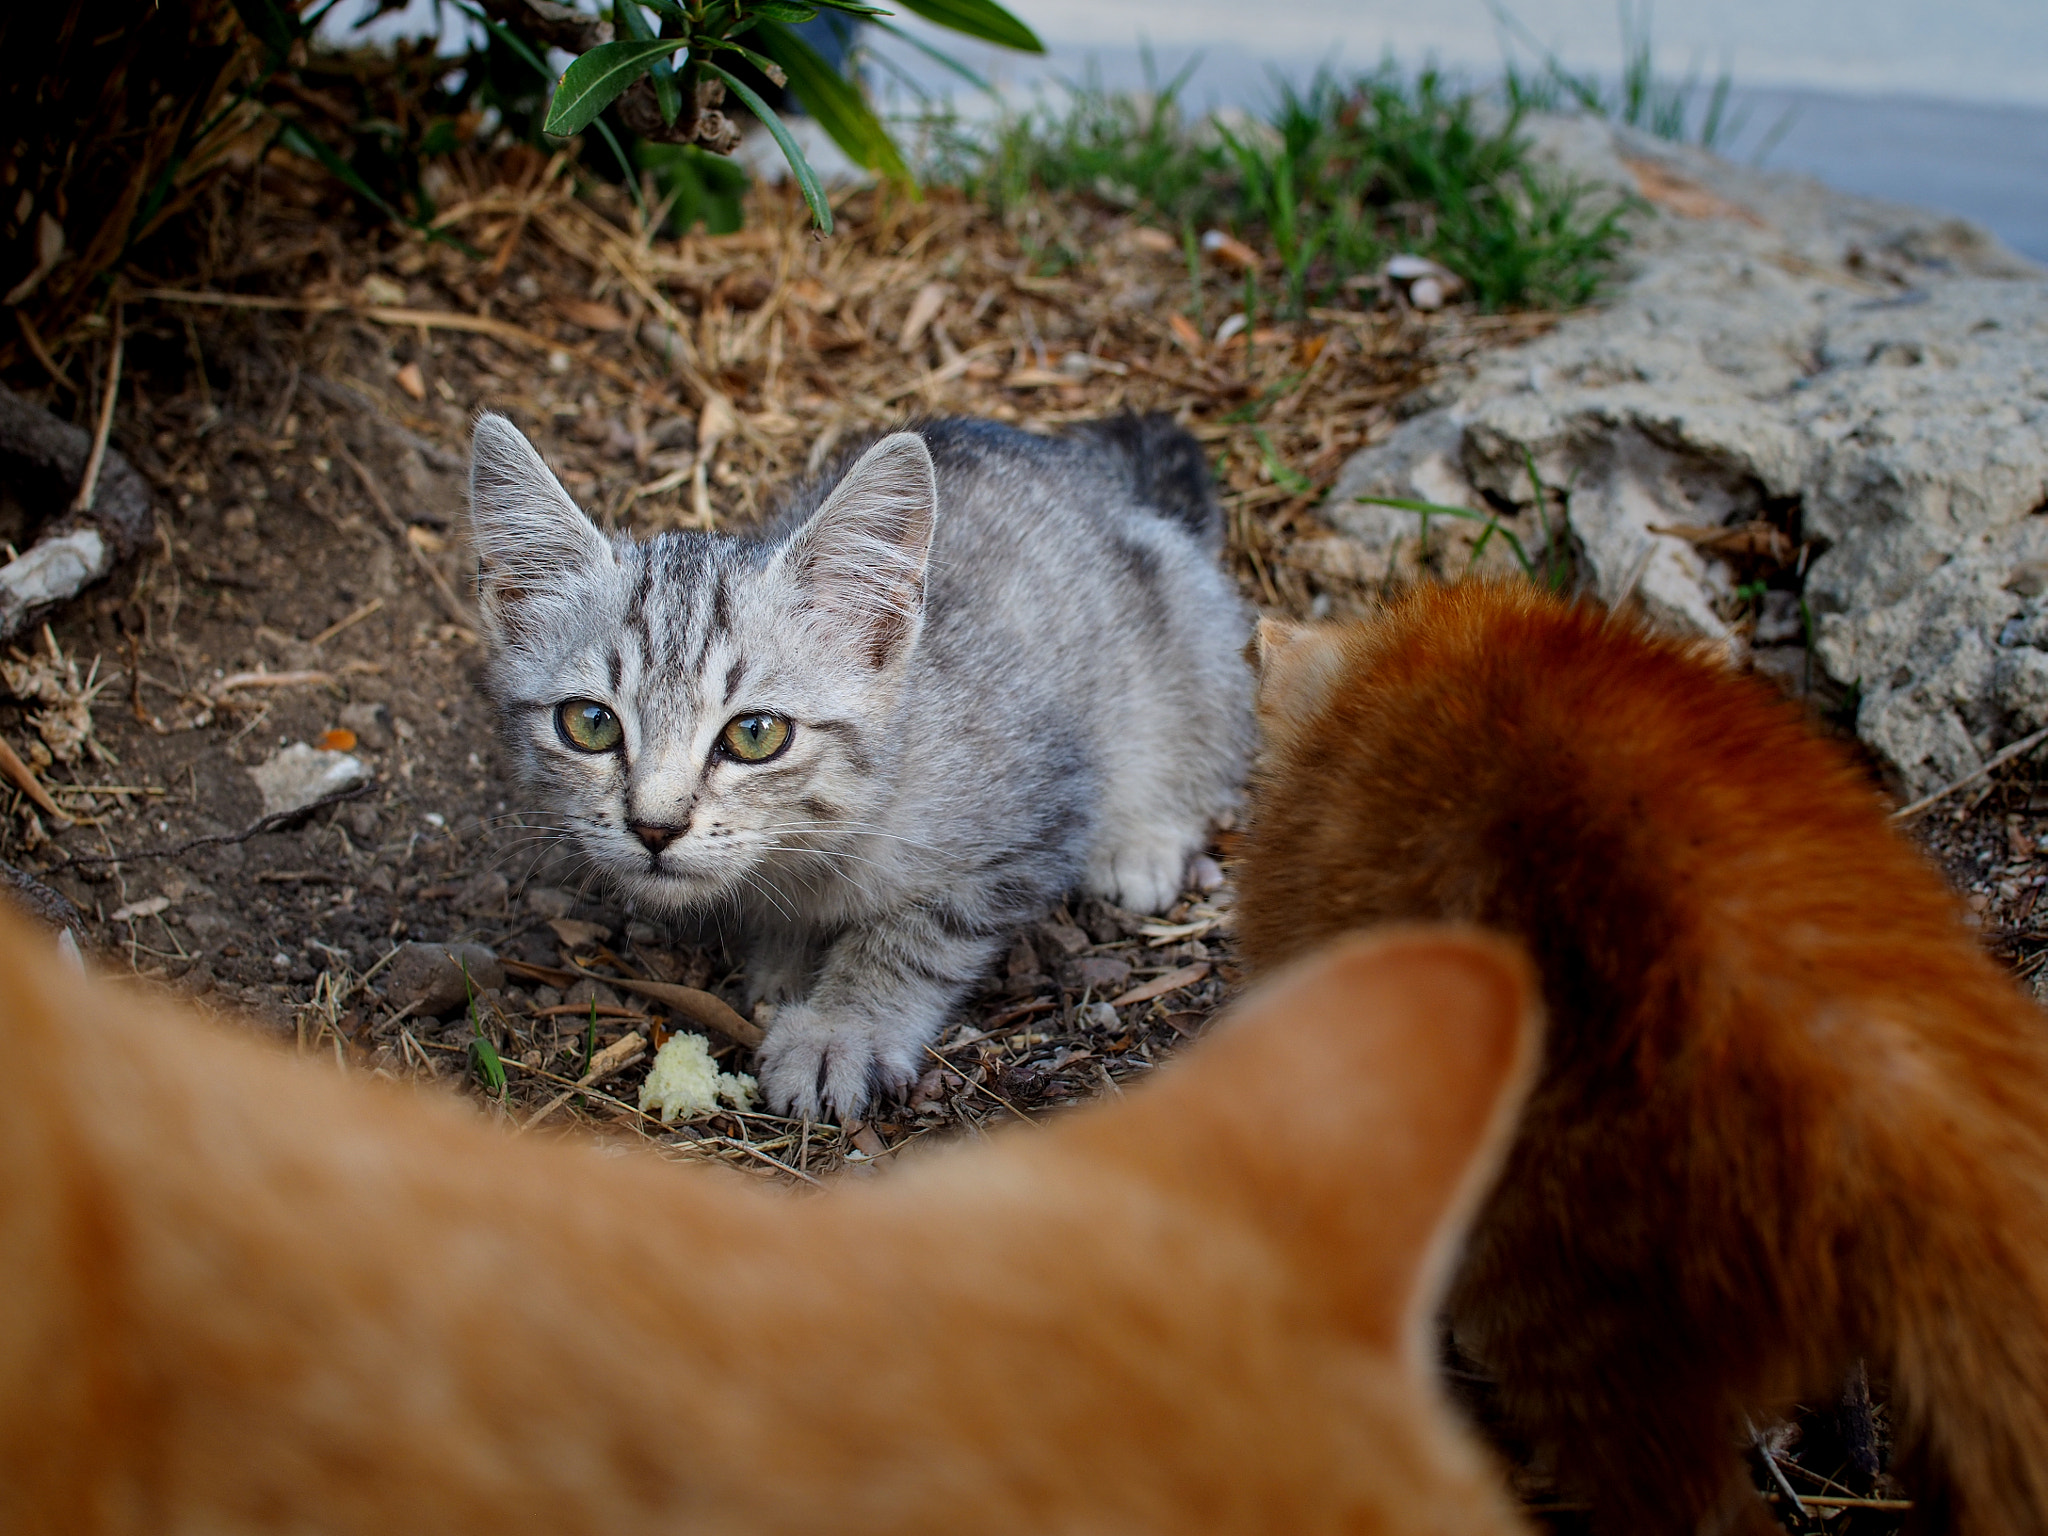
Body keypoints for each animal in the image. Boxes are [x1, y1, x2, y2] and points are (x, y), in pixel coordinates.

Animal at [471, 415, 1253, 1122]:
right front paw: (784, 961)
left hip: (1187, 635)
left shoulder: (1041, 813)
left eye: (756, 734)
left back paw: (1145, 840)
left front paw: (839, 1027)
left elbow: (916, 935)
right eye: (590, 723)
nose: (654, 827)